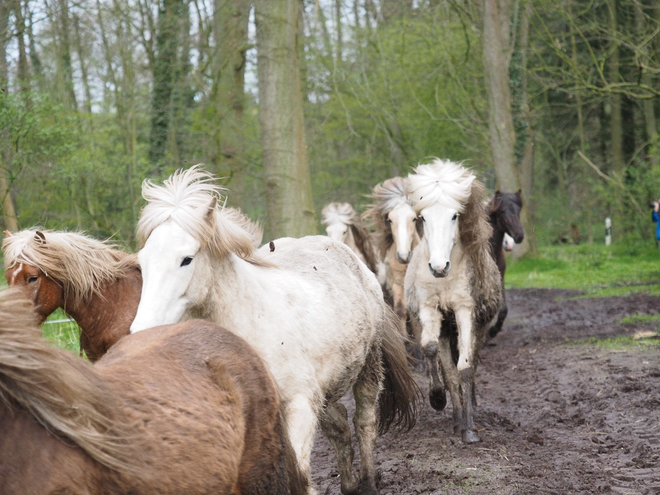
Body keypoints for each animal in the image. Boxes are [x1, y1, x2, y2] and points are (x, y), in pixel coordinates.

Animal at [130, 168, 418, 495]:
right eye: (142, 262)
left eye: (186, 259)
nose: (142, 329)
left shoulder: (298, 406)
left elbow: (299, 479)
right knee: (340, 428)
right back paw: (349, 485)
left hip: (368, 367)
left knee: (364, 421)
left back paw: (368, 481)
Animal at [402, 160, 500, 446]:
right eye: (422, 217)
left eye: (455, 216)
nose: (438, 267)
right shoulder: (429, 308)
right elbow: (431, 350)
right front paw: (437, 397)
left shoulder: (464, 310)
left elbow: (465, 368)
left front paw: (471, 430)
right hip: (446, 328)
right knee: (447, 366)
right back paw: (455, 418)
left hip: (476, 328)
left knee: (471, 364)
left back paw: (467, 416)